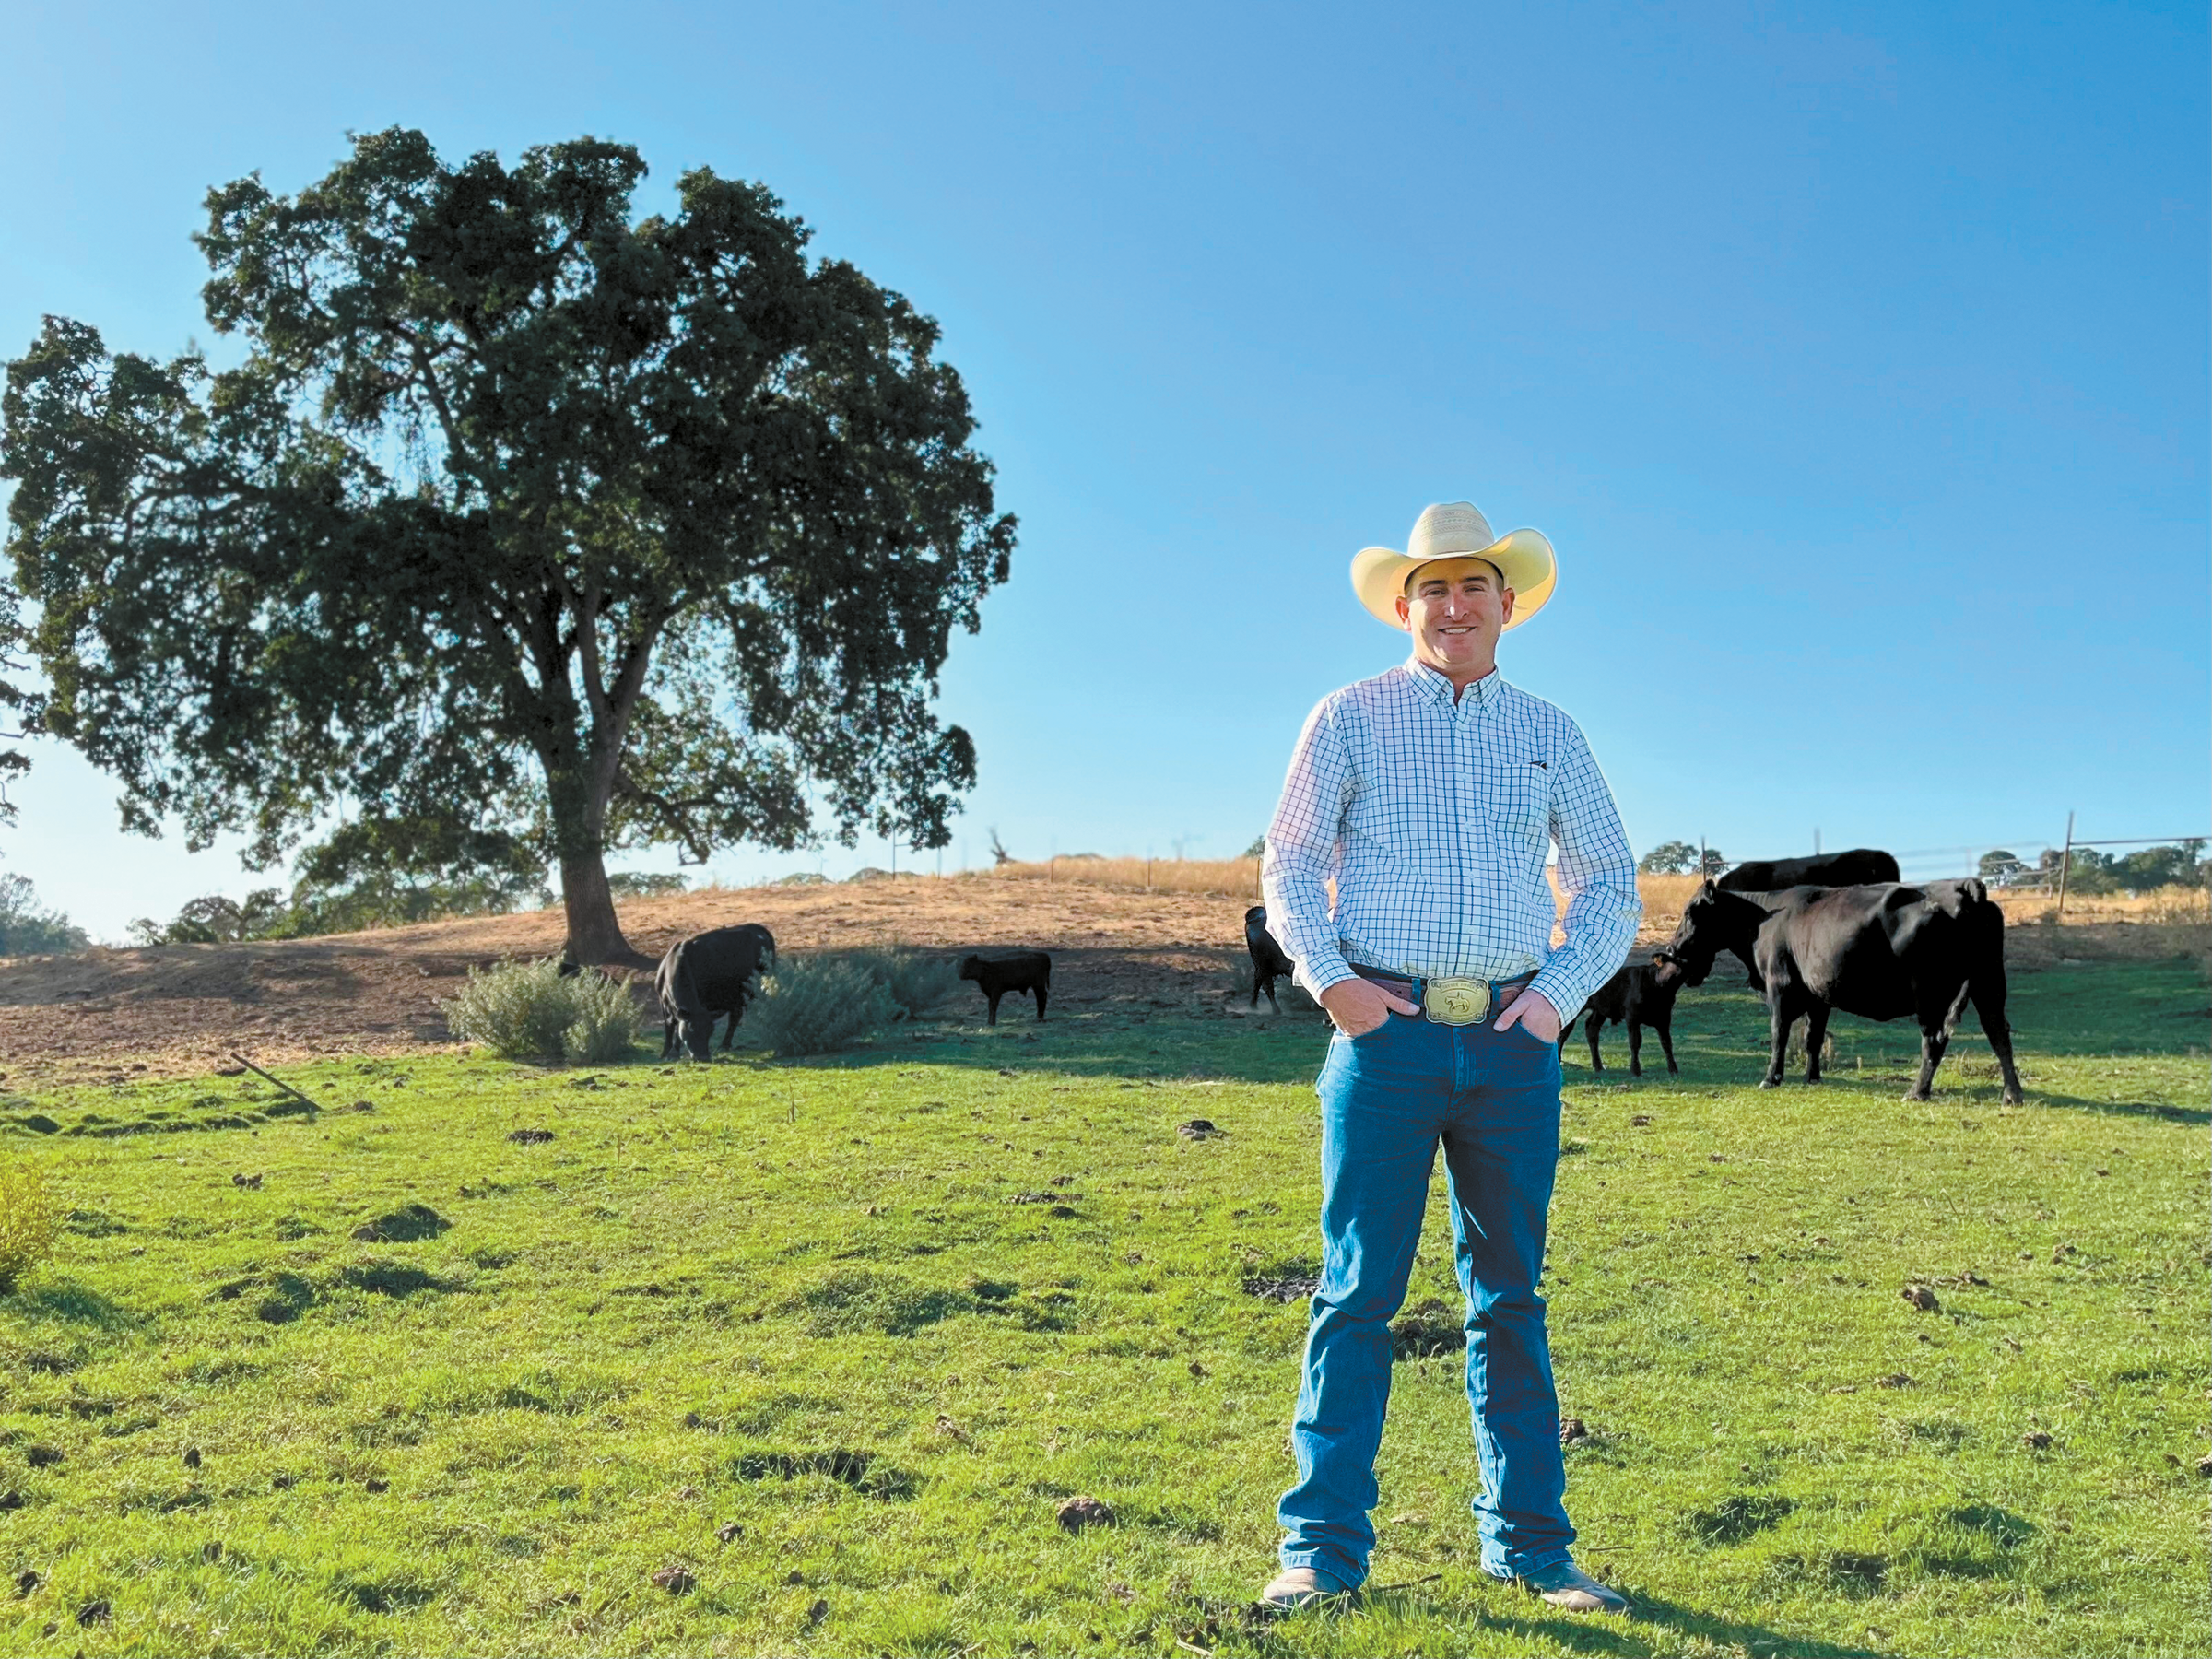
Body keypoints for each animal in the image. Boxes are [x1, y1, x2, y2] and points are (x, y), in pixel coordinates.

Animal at [654, 929, 770, 1057]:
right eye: (692, 1030)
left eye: (710, 1032)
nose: (704, 1057)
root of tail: (758, 930)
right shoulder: (663, 1002)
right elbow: (669, 1027)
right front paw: (665, 1053)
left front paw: (674, 1053)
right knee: (736, 1016)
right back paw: (725, 1045)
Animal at [1566, 959, 1681, 1079]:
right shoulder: (1631, 1017)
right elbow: (1635, 1042)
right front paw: (1635, 1070)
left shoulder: (1664, 1019)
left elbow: (1666, 1043)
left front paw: (1673, 1070)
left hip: (1600, 1010)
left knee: (1592, 1028)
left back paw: (1599, 1067)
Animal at [1663, 876, 2026, 1110]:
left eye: (1690, 913)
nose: (1671, 949)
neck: (1762, 921)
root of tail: (1963, 887)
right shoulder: (1817, 996)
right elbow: (1812, 1038)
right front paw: (1812, 1077)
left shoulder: (1779, 988)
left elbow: (1780, 1036)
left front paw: (1771, 1078)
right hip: (1988, 983)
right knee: (1998, 1033)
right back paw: (2012, 1095)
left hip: (1929, 994)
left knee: (1934, 1040)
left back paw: (1917, 1092)